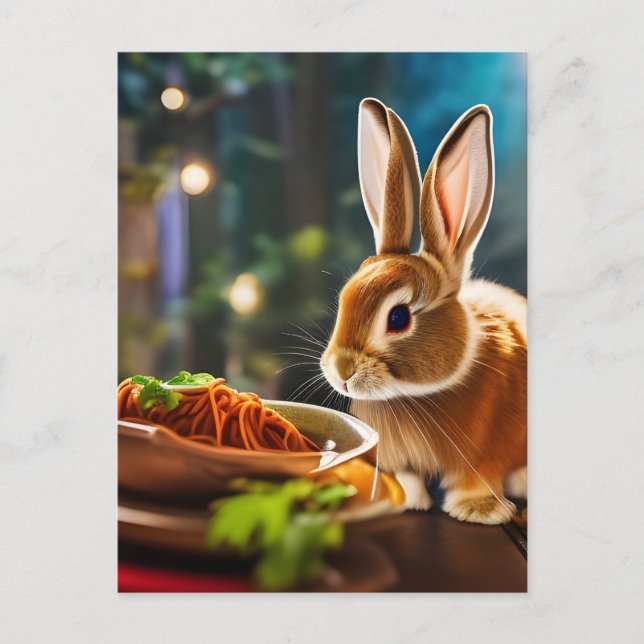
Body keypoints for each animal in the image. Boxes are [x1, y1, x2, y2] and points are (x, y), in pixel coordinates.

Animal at [320, 98, 527, 525]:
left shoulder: (484, 455)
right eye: (345, 299)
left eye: (398, 317)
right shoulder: (397, 457)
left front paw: (477, 512)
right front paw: (406, 501)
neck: (410, 395)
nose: (342, 371)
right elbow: (408, 478)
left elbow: (477, 481)